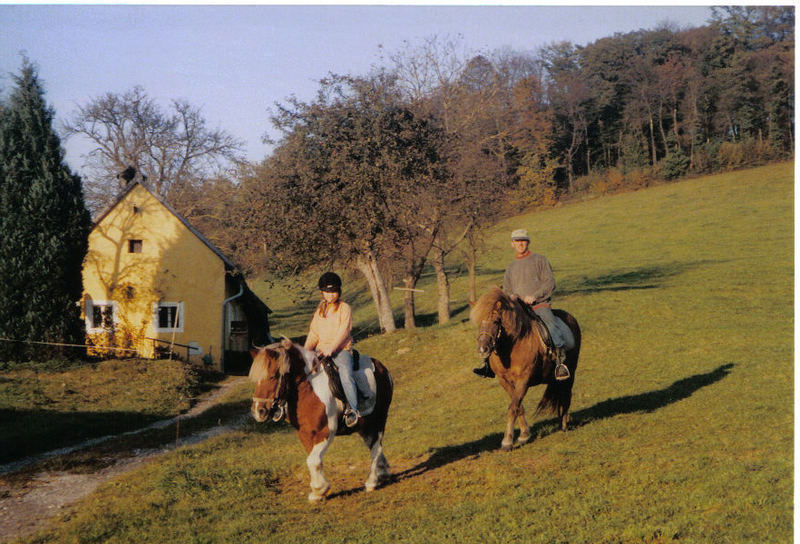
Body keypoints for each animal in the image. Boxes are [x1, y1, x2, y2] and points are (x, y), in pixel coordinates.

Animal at [247, 340, 390, 502]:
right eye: (255, 380)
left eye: (272, 377)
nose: (258, 411)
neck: (310, 391)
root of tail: (381, 367)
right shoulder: (305, 433)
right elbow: (313, 460)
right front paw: (319, 491)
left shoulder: (326, 432)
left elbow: (313, 460)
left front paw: (319, 490)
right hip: (364, 426)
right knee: (373, 445)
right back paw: (382, 472)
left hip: (379, 419)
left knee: (375, 448)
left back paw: (372, 481)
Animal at [468, 288, 580, 450]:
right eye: (478, 324)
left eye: (496, 321)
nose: (483, 349)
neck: (513, 345)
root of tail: (571, 319)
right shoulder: (505, 381)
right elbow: (518, 406)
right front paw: (524, 435)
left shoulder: (524, 380)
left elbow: (513, 407)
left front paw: (507, 441)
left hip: (570, 372)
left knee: (566, 394)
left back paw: (564, 425)